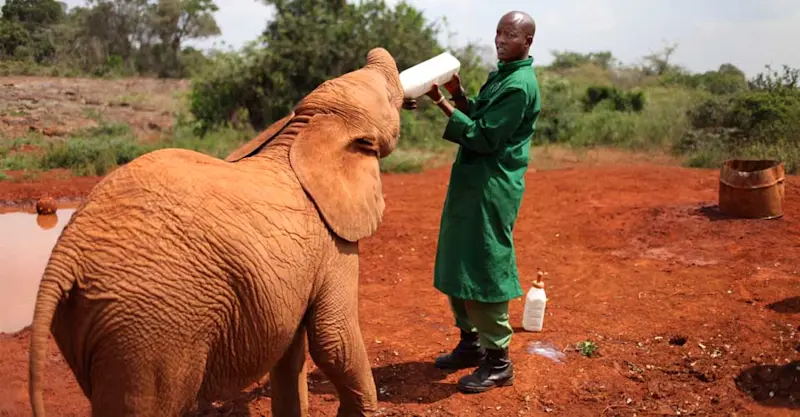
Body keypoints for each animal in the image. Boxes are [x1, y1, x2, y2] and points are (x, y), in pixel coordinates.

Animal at [28, 47, 405, 417]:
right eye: (388, 98)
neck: (309, 127)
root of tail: (67, 253)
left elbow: (290, 352)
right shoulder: (333, 243)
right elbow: (334, 340)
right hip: (149, 328)